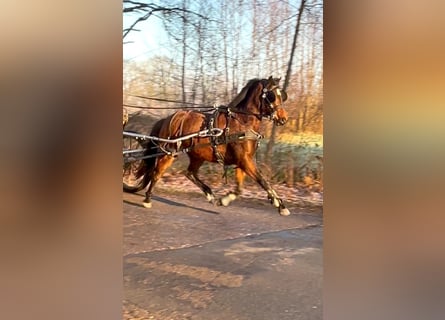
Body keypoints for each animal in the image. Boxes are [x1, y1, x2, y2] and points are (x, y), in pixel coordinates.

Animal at [126, 75, 290, 215]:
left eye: (282, 95)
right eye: (272, 95)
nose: (283, 119)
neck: (241, 122)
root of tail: (168, 118)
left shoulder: (243, 161)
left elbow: (239, 188)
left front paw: (225, 199)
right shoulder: (245, 160)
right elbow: (262, 180)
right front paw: (280, 205)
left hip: (197, 155)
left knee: (189, 173)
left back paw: (210, 195)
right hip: (169, 153)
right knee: (156, 173)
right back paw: (147, 199)